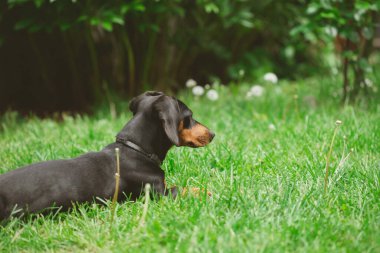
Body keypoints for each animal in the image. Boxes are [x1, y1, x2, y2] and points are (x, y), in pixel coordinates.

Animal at [0, 91, 214, 219]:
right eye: (189, 116)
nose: (213, 134)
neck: (135, 150)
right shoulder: (158, 194)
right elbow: (182, 188)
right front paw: (205, 191)